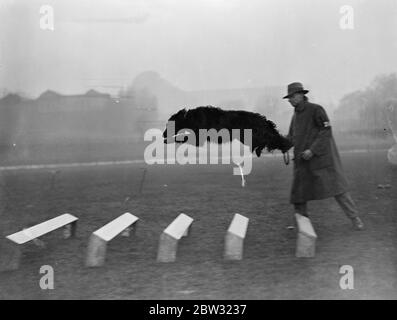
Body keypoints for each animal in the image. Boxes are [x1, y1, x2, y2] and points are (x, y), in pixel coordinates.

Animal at [162, 105, 292, 157]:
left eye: (168, 125)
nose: (163, 134)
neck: (190, 118)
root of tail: (262, 119)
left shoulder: (199, 138)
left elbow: (181, 137)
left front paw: (168, 140)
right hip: (247, 137)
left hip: (251, 136)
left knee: (269, 139)